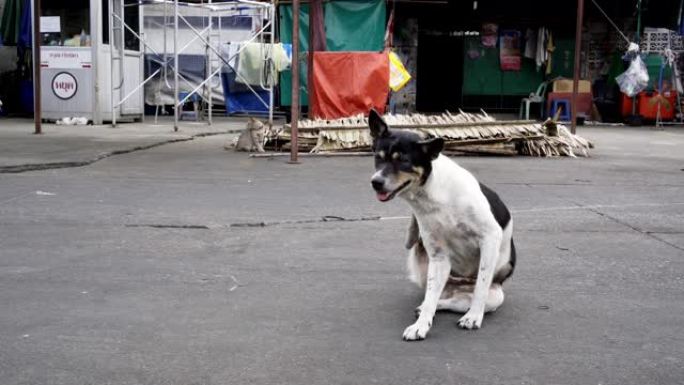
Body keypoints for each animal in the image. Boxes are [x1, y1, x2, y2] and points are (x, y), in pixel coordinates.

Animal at [366, 108, 516, 340]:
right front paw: (420, 325)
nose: (376, 182)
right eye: (378, 157)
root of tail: (456, 286)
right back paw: (427, 308)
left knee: (466, 299)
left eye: (404, 161)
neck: (433, 192)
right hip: (429, 272)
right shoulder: (438, 256)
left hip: (495, 297)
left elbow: (481, 286)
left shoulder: (490, 237)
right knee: (434, 298)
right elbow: (430, 301)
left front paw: (474, 317)